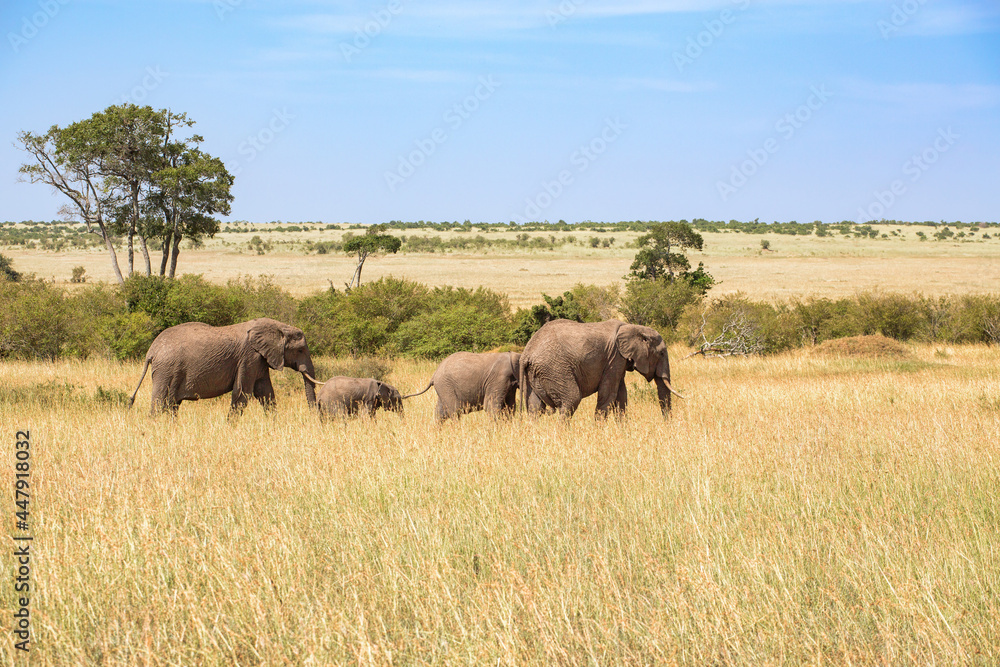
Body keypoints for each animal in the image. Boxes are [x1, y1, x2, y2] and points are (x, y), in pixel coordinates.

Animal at [128, 318, 316, 414]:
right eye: (300, 350)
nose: (314, 416)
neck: (278, 326)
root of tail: (152, 350)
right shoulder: (249, 357)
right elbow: (242, 394)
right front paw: (230, 428)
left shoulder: (260, 359)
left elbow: (265, 392)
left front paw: (273, 425)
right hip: (166, 370)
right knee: (160, 403)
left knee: (172, 405)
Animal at [520, 318, 684, 418]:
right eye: (661, 353)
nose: (667, 425)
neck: (633, 327)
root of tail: (526, 353)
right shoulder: (615, 357)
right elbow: (609, 394)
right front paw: (599, 431)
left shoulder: (619, 360)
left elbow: (621, 396)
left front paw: (624, 431)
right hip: (555, 369)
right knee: (571, 400)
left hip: (535, 373)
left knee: (534, 407)